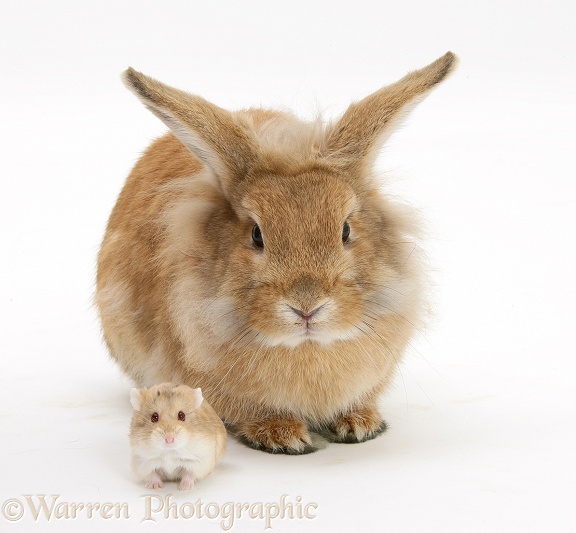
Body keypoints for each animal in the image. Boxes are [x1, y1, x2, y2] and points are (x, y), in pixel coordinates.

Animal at [97, 51, 456, 454]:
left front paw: (360, 424)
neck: (306, 348)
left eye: (346, 229)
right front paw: (283, 435)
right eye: (256, 234)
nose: (307, 306)